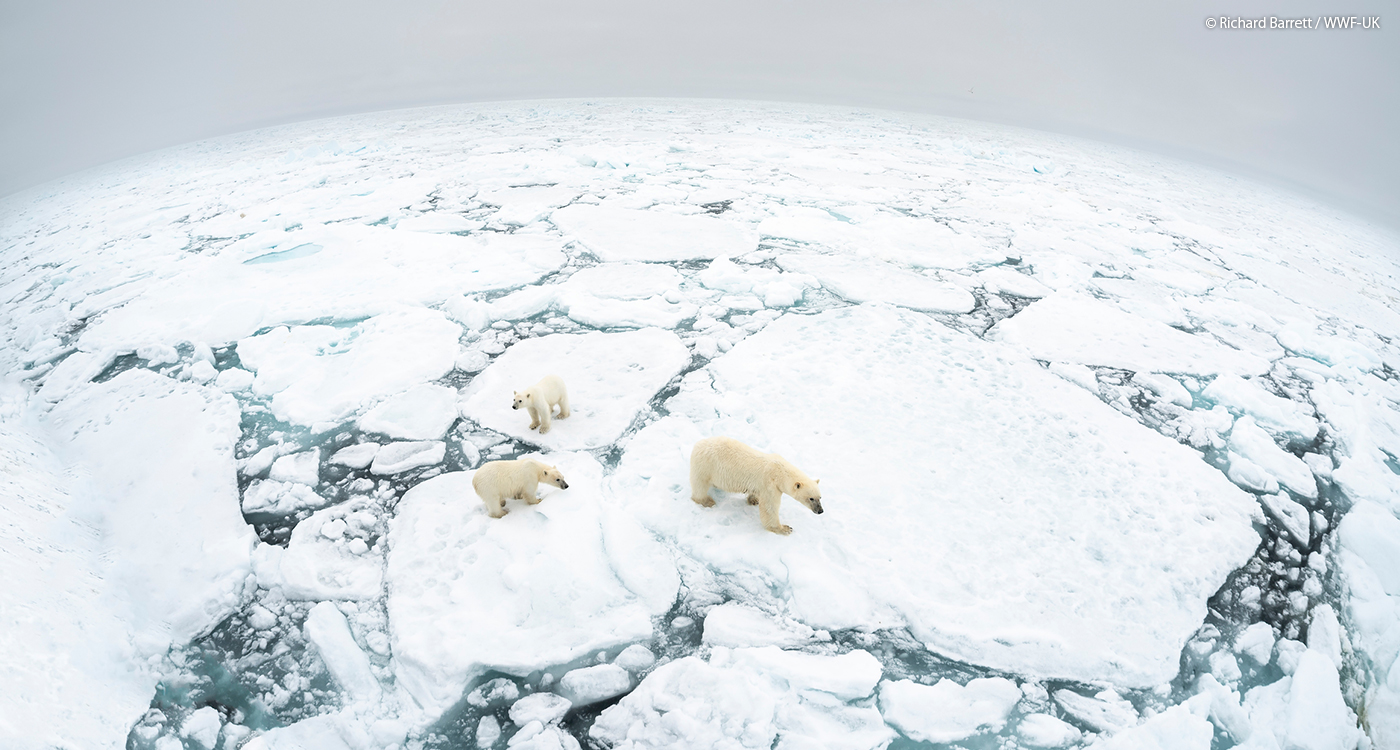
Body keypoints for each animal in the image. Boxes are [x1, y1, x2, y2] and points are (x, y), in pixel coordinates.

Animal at [688, 436, 817, 537]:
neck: (779, 470)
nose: (820, 510)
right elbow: (769, 508)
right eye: (811, 498)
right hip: (705, 466)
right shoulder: (770, 485)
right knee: (700, 485)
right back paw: (707, 501)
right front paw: (784, 528)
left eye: (819, 497)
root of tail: (697, 445)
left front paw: (754, 500)